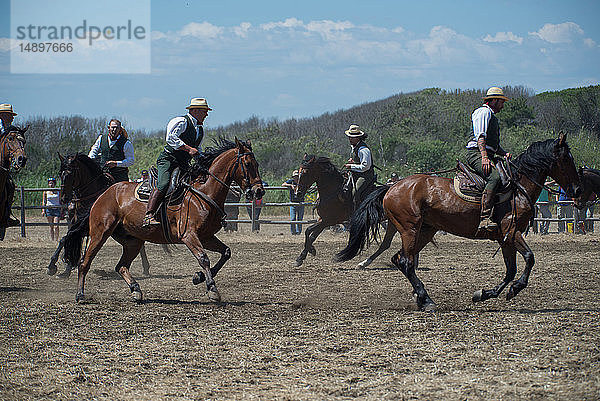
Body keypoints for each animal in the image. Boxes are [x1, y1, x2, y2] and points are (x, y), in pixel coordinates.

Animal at [62, 139, 264, 302]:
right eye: (247, 163)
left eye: (257, 163)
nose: (259, 191)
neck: (203, 192)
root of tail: (102, 195)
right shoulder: (189, 236)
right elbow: (204, 258)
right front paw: (212, 289)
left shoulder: (206, 237)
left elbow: (226, 253)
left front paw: (198, 277)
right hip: (100, 233)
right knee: (84, 262)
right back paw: (80, 295)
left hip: (133, 241)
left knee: (121, 266)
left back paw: (136, 290)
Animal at [336, 134, 580, 310]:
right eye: (567, 159)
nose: (577, 190)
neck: (517, 187)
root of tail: (392, 187)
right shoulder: (512, 233)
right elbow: (529, 258)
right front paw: (515, 289)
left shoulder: (505, 238)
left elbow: (511, 269)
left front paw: (484, 294)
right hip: (409, 229)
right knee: (405, 261)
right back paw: (426, 300)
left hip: (424, 231)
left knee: (399, 259)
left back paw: (420, 297)